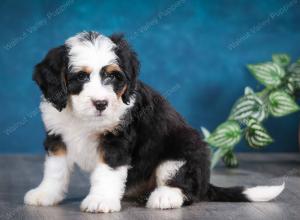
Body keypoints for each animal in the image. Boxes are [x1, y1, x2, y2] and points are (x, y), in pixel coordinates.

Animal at [24, 31, 284, 213]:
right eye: (80, 77)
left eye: (113, 76)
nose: (101, 103)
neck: (83, 118)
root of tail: (206, 181)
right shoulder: (57, 137)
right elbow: (55, 170)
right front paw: (45, 194)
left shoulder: (117, 141)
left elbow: (106, 173)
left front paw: (100, 200)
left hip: (182, 152)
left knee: (184, 187)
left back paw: (164, 196)